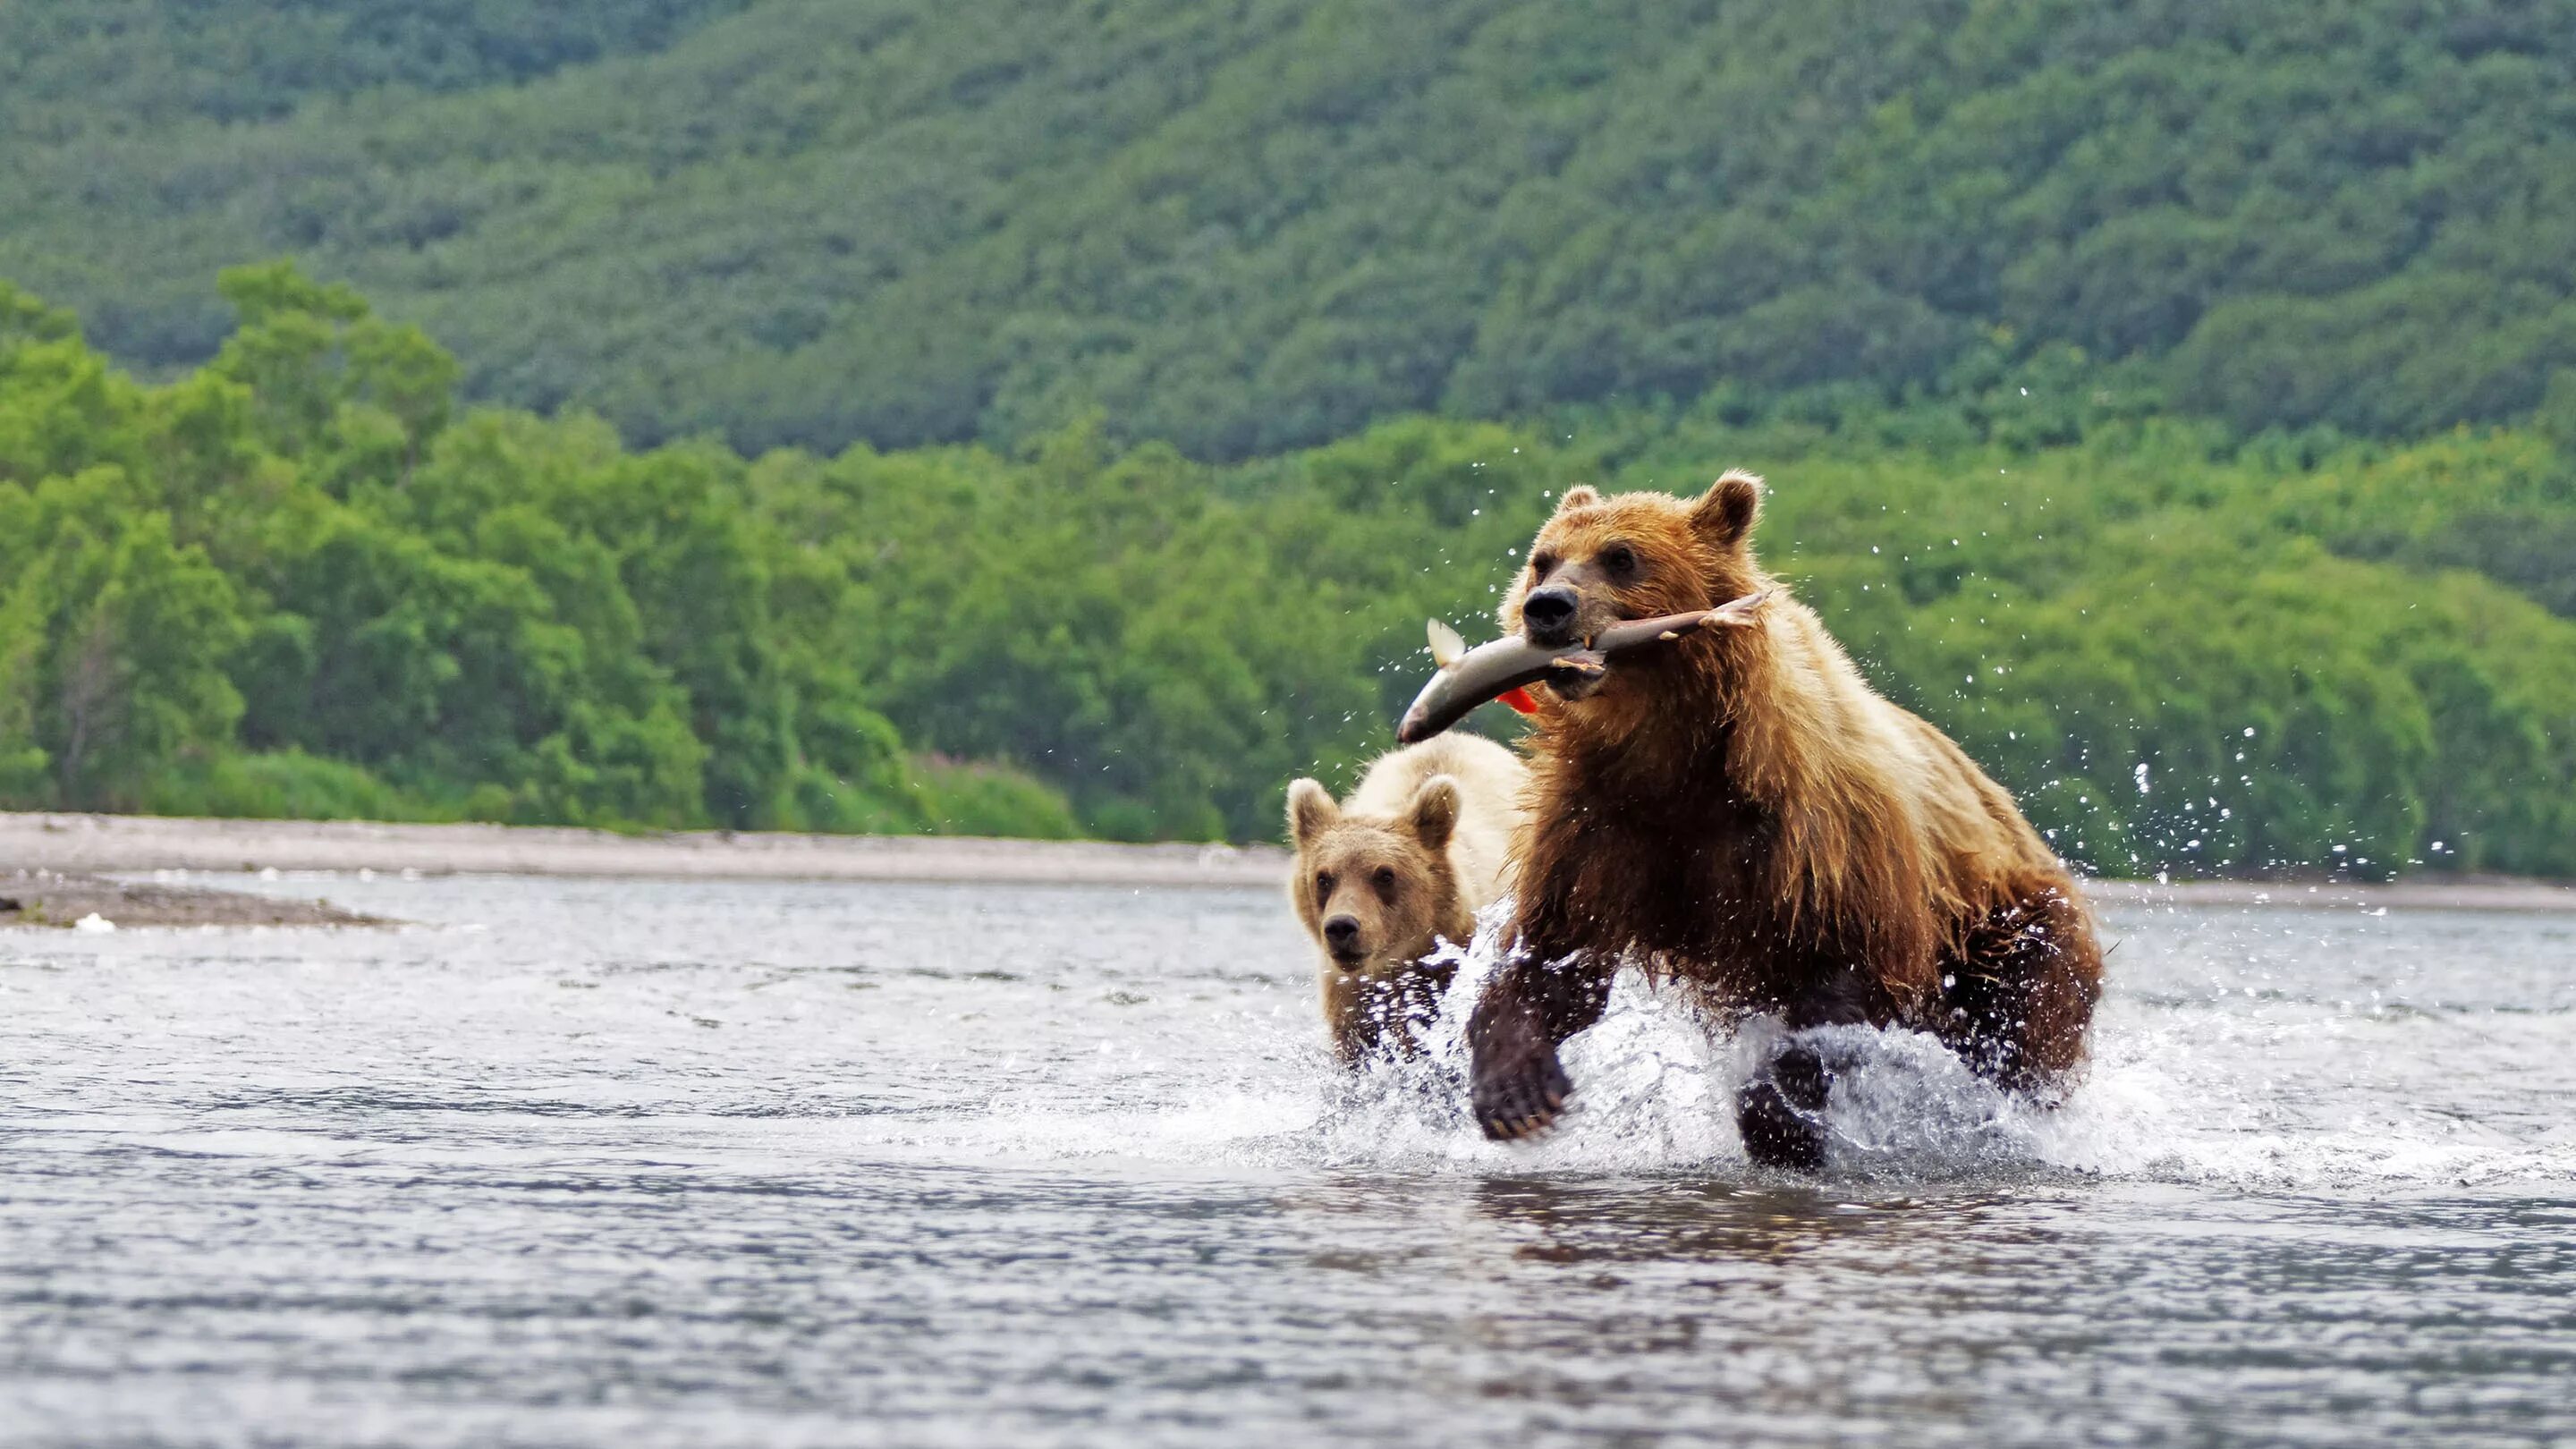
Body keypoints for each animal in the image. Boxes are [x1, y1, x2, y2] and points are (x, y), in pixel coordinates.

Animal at [1473, 474, 2091, 1160]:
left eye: (1621, 556)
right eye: (1542, 559)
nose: (1548, 607)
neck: (1677, 749)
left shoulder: (1821, 830)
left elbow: (1843, 975)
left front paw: (1777, 1115)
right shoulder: (1600, 822)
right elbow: (1557, 953)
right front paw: (1516, 1090)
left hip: (2012, 929)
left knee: (2016, 1035)